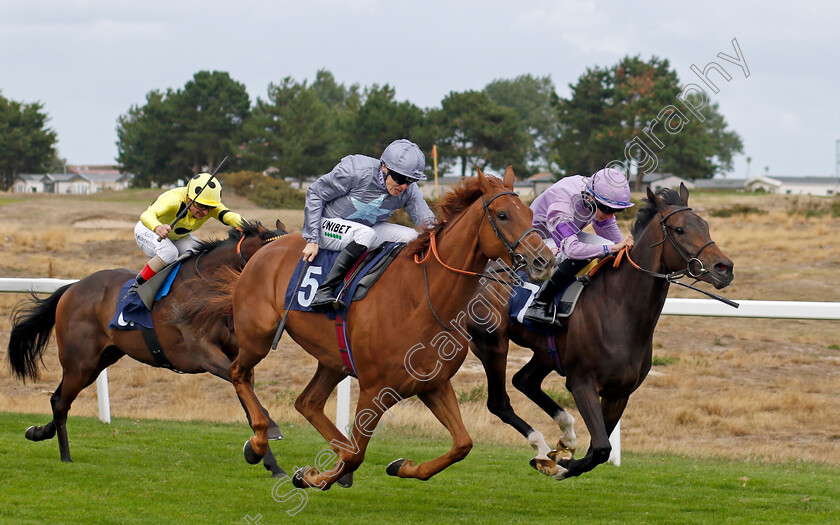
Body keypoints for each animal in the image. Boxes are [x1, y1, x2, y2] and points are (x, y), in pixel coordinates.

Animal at [5, 218, 288, 474]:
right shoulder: (203, 353)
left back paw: (37, 432)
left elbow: (250, 405)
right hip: (80, 363)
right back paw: (65, 457)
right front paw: (270, 435)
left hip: (100, 361)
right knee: (62, 404)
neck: (207, 288)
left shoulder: (237, 359)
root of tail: (73, 287)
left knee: (58, 399)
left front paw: (271, 462)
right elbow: (251, 402)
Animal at [220, 167, 556, 488]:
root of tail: (267, 248)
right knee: (239, 373)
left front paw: (401, 467)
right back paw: (258, 442)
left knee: (308, 402)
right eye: (502, 215)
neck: (423, 299)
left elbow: (463, 444)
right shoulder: (374, 390)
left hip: (334, 359)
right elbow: (356, 454)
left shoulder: (433, 384)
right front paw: (313, 477)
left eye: (529, 214)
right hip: (258, 336)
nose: (544, 261)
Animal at [466, 184, 736, 478]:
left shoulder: (620, 392)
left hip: (546, 352)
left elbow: (598, 449)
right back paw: (541, 445)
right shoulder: (582, 383)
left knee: (524, 381)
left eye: (705, 225)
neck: (619, 308)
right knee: (499, 402)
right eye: (679, 229)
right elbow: (601, 448)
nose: (724, 268)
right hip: (492, 344)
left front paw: (563, 459)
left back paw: (565, 434)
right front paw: (561, 465)